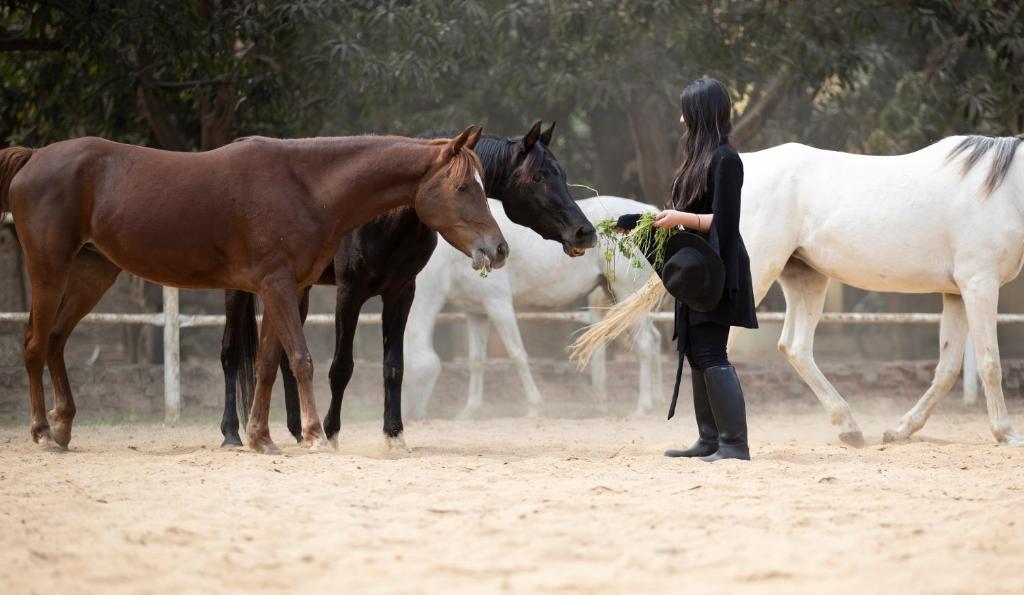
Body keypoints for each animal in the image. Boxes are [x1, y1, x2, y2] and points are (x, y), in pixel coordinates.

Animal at [0, 127, 508, 454]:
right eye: (463, 187)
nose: (498, 248)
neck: (304, 185)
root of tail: (34, 157)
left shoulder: (279, 288)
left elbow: (265, 364)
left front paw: (262, 437)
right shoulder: (282, 286)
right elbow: (301, 359)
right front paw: (314, 434)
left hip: (93, 274)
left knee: (56, 340)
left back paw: (64, 429)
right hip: (49, 270)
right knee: (34, 343)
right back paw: (42, 431)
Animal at [220, 122, 598, 450]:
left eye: (561, 174)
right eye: (538, 176)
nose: (585, 232)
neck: (387, 213)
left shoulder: (401, 293)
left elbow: (394, 367)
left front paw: (394, 436)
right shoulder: (350, 293)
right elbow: (341, 367)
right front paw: (333, 432)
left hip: (297, 289)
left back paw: (298, 432)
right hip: (242, 290)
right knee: (230, 353)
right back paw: (232, 433)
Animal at [403, 195, 662, 420]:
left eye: (410, 376)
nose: (412, 417)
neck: (454, 257)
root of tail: (649, 212)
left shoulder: (499, 304)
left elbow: (517, 355)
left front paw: (534, 407)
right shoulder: (476, 312)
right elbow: (476, 361)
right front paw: (469, 412)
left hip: (626, 291)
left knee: (644, 345)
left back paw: (642, 407)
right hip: (624, 299)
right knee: (653, 340)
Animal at [737, 134, 1024, 447]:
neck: (1005, 191)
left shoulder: (957, 294)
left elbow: (947, 369)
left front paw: (901, 430)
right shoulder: (980, 284)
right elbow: (990, 363)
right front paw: (1007, 434)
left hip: (806, 279)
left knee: (795, 348)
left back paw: (849, 428)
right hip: (758, 275)